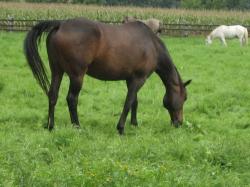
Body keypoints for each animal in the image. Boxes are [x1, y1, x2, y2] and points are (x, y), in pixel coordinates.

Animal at [23, 17, 191, 134]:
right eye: (184, 98)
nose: (179, 123)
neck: (152, 45)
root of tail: (61, 24)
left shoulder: (131, 79)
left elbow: (134, 102)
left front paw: (134, 124)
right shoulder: (139, 79)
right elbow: (128, 102)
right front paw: (121, 128)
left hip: (57, 71)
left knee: (53, 95)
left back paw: (50, 126)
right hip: (77, 76)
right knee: (71, 98)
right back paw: (77, 126)